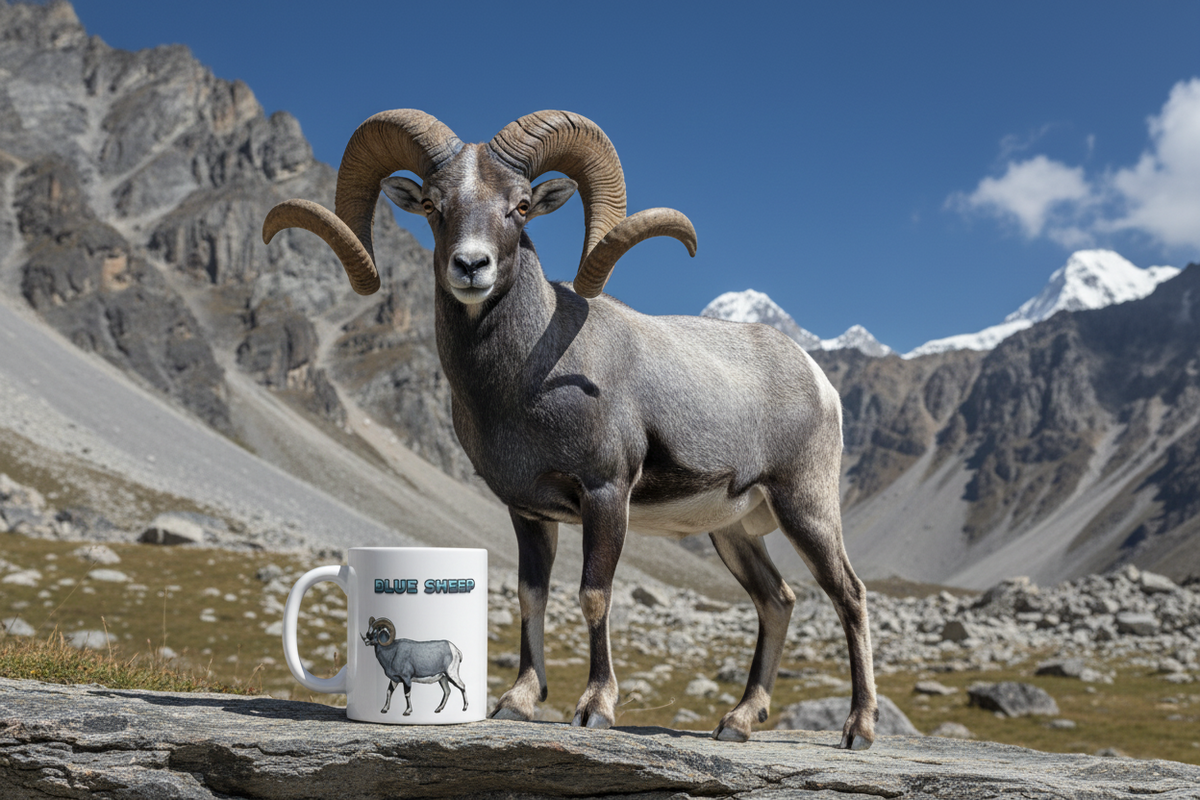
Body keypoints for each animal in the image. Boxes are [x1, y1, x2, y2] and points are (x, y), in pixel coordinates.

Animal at [264, 110, 878, 749]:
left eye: (520, 205)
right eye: (433, 204)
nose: (471, 266)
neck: (527, 379)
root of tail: (818, 379)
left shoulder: (605, 495)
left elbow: (593, 595)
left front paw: (595, 707)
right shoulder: (529, 512)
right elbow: (530, 596)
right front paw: (517, 702)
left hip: (804, 508)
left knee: (849, 595)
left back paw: (857, 729)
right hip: (733, 532)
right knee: (777, 601)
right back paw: (736, 721)